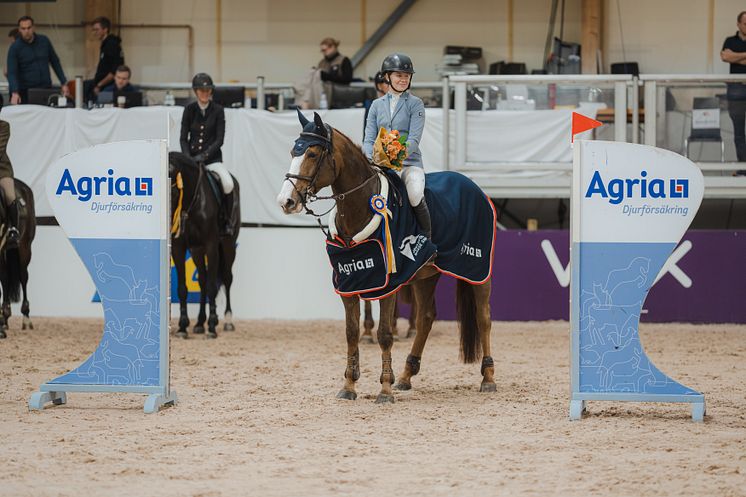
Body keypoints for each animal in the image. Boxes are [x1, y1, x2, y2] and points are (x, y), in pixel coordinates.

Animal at [274, 112, 494, 404]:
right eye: (293, 151)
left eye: (311, 153)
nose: (285, 201)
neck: (359, 209)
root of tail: (473, 185)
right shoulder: (350, 283)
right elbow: (351, 333)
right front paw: (349, 386)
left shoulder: (390, 284)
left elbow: (385, 334)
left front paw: (385, 390)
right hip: (426, 275)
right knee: (425, 318)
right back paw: (406, 376)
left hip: (477, 268)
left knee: (483, 318)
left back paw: (488, 378)